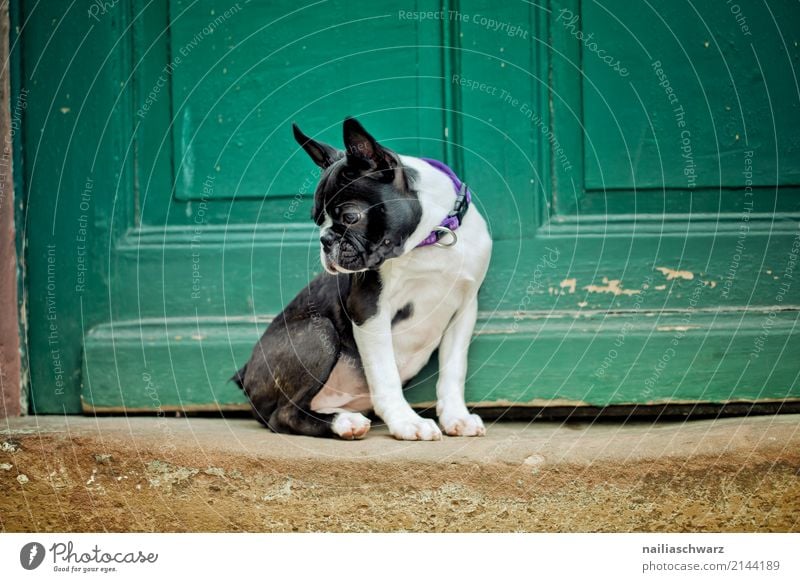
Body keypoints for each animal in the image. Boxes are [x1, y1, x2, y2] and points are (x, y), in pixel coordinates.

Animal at [231, 117, 490, 442]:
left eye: (351, 217)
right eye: (318, 220)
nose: (326, 240)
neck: (432, 238)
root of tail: (245, 374)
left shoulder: (464, 308)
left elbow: (453, 369)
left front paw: (456, 416)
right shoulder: (369, 309)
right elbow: (385, 373)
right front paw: (407, 422)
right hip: (319, 333)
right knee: (283, 415)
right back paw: (343, 423)